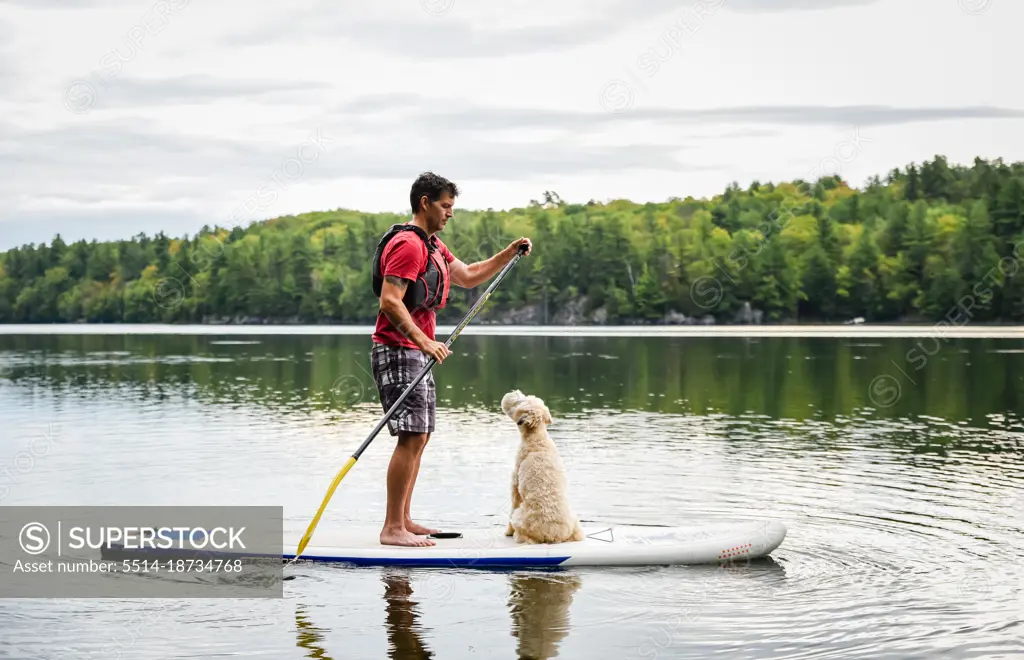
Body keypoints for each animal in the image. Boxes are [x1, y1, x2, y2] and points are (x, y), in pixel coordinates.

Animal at [501, 388, 585, 544]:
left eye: (521, 401)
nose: (513, 392)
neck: (537, 439)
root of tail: (555, 535)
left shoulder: (515, 487)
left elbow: (512, 507)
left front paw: (508, 532)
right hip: (576, 524)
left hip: (520, 517)